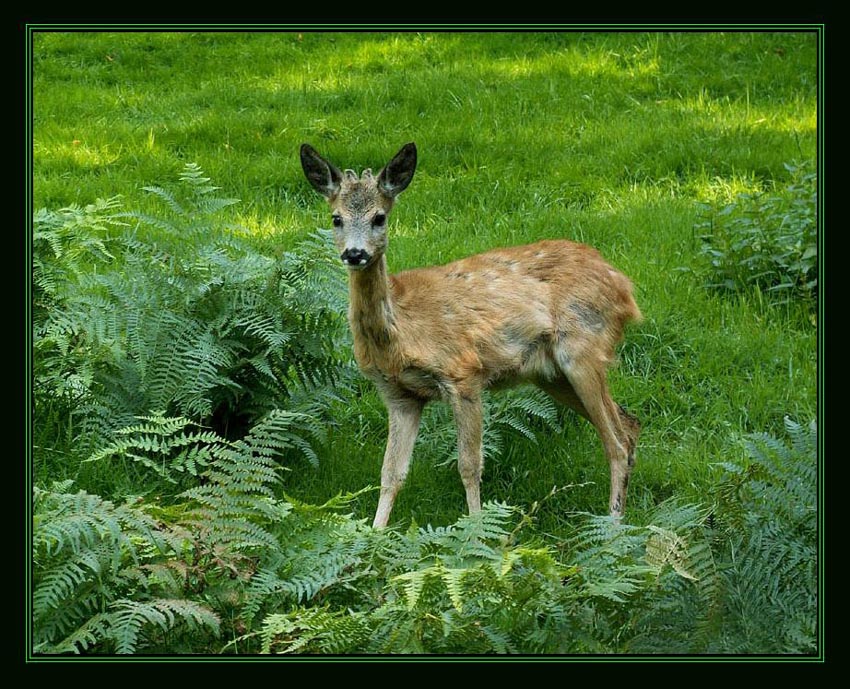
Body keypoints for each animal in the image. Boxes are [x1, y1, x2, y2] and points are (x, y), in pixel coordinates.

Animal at [302, 141, 640, 528]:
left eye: (379, 217)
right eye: (336, 218)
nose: (355, 253)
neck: (400, 333)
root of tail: (625, 287)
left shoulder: (463, 374)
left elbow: (469, 465)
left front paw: (476, 531)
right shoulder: (399, 394)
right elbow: (391, 473)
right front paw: (374, 533)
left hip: (582, 348)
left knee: (616, 441)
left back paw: (613, 526)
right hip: (550, 373)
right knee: (629, 423)